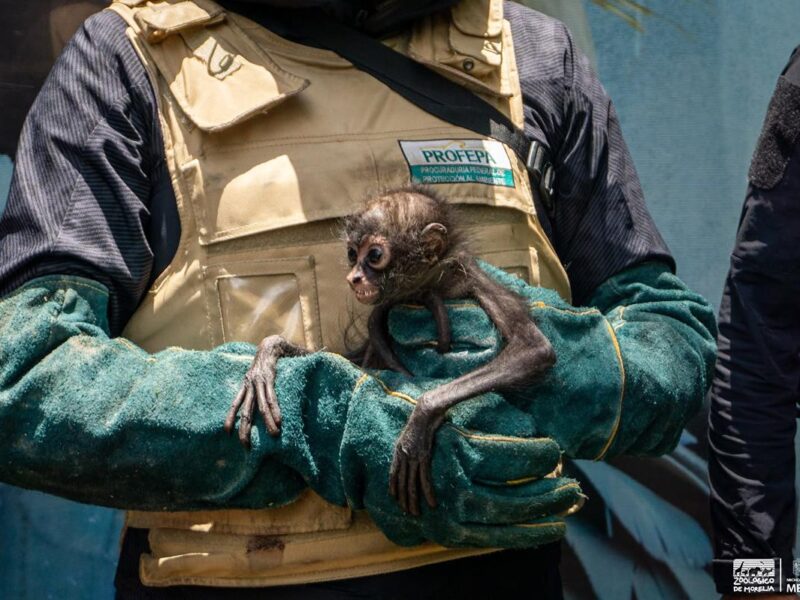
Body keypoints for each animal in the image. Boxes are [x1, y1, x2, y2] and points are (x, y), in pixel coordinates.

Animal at [225, 186, 556, 517]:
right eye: (352, 254)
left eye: (374, 256)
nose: (353, 277)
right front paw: (266, 358)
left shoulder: (471, 277)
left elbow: (535, 350)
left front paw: (419, 424)